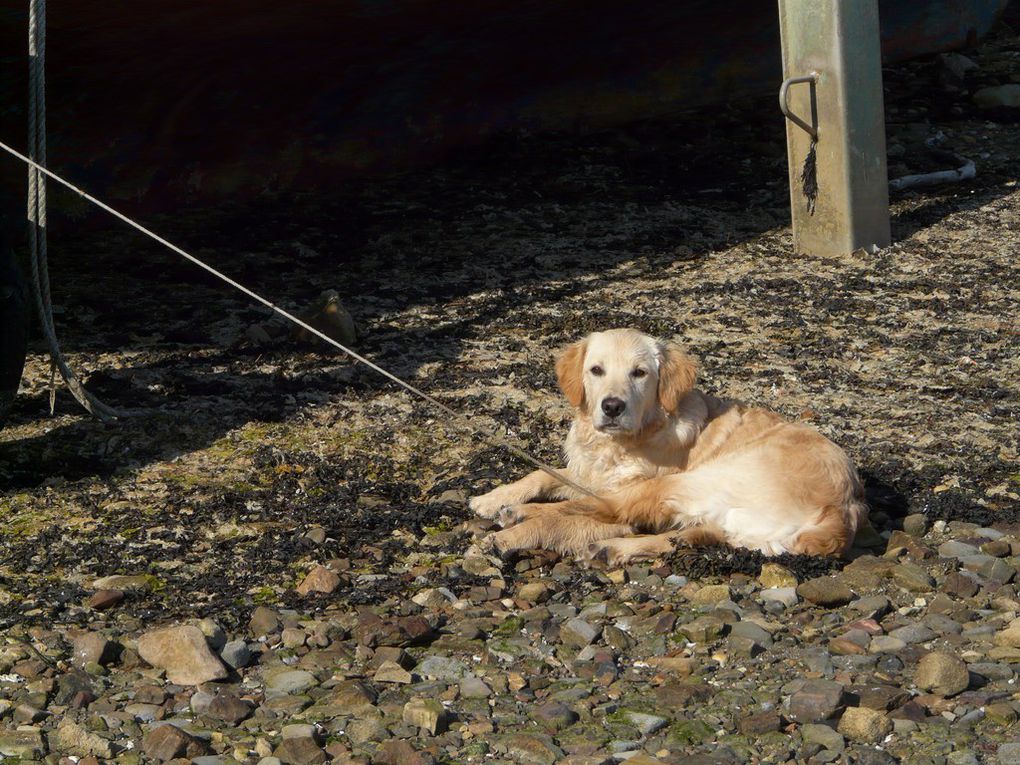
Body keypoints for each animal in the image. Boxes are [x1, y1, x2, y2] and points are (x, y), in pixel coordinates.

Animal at [469, 326, 869, 567]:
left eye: (639, 373)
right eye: (596, 370)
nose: (611, 407)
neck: (627, 439)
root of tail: (844, 507)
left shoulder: (630, 484)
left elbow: (585, 502)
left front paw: (511, 515)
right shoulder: (591, 472)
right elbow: (544, 474)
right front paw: (492, 497)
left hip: (693, 479)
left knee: (602, 510)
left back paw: (519, 523)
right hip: (729, 525)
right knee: (670, 536)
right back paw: (607, 546)